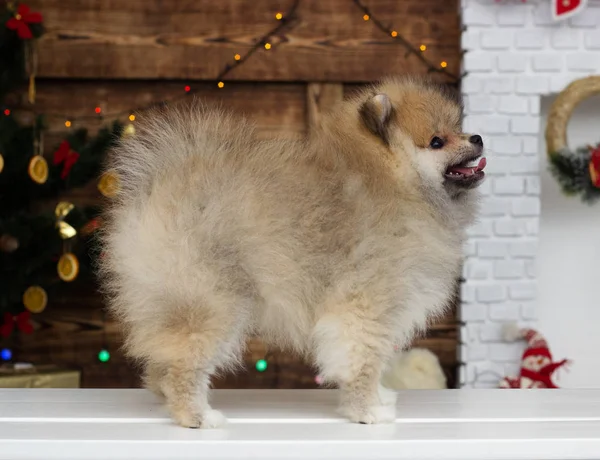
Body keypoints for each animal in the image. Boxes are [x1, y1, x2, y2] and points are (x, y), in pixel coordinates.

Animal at [99, 76, 488, 428]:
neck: (396, 183)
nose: (478, 138)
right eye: (437, 141)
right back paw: (195, 416)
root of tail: (159, 185)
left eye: (459, 129)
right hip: (210, 301)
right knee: (184, 362)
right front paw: (366, 411)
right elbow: (362, 361)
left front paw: (378, 397)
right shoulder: (365, 305)